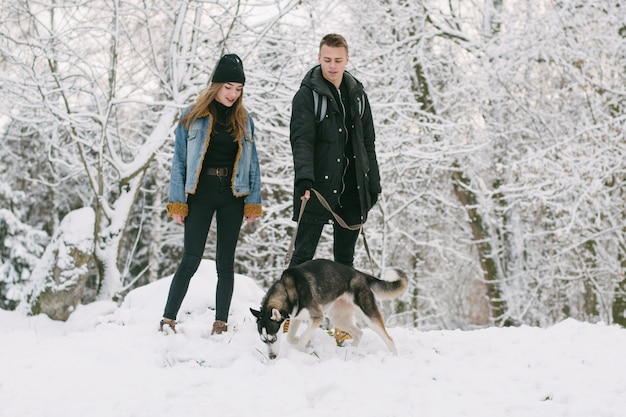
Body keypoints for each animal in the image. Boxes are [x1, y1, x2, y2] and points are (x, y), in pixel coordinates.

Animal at [249, 256, 404, 358]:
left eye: (273, 339)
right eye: (263, 340)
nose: (272, 357)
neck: (288, 291)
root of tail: (361, 274)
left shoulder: (317, 316)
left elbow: (302, 339)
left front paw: (300, 349)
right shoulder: (296, 317)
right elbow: (290, 338)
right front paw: (305, 342)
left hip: (368, 315)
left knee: (389, 339)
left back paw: (395, 357)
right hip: (338, 317)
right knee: (359, 333)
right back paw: (351, 352)